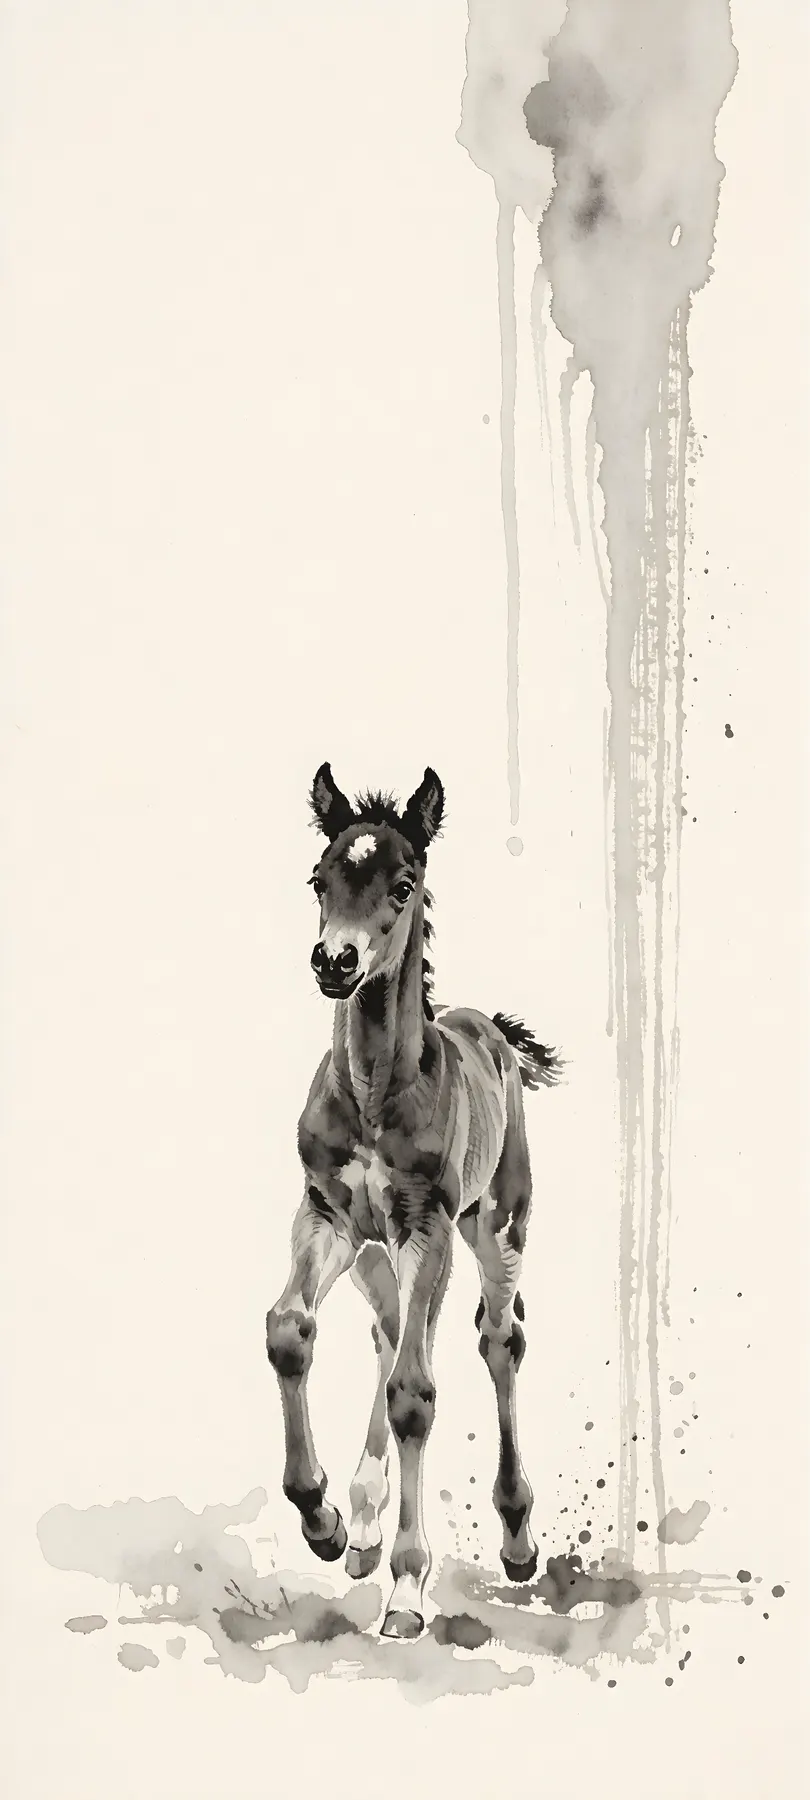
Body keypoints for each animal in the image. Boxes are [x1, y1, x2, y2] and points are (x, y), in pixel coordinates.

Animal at [266, 764, 561, 1639]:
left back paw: (517, 1537)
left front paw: (406, 1589)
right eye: (319, 879)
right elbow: (290, 1331)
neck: (371, 1094)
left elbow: (416, 1396)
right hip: (376, 1253)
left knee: (497, 1340)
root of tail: (489, 1027)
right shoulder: (326, 1216)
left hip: (495, 1226)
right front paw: (323, 1518)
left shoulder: (425, 1226)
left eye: (403, 886)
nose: (335, 961)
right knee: (393, 1330)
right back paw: (362, 1520)